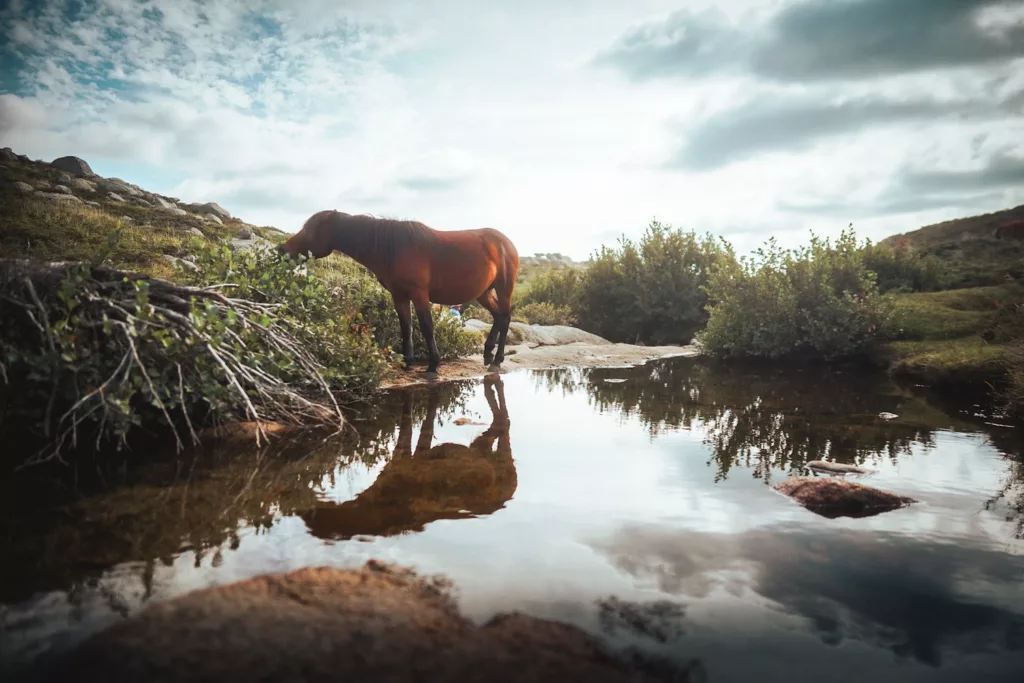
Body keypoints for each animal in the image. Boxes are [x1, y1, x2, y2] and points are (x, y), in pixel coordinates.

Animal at [278, 210, 519, 379]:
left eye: (310, 229)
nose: (283, 250)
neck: (394, 248)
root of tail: (506, 242)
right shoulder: (400, 296)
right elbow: (406, 327)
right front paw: (407, 362)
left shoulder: (419, 295)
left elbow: (426, 327)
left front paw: (432, 365)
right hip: (484, 293)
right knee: (498, 316)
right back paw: (487, 354)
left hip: (504, 288)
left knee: (506, 316)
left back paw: (497, 359)